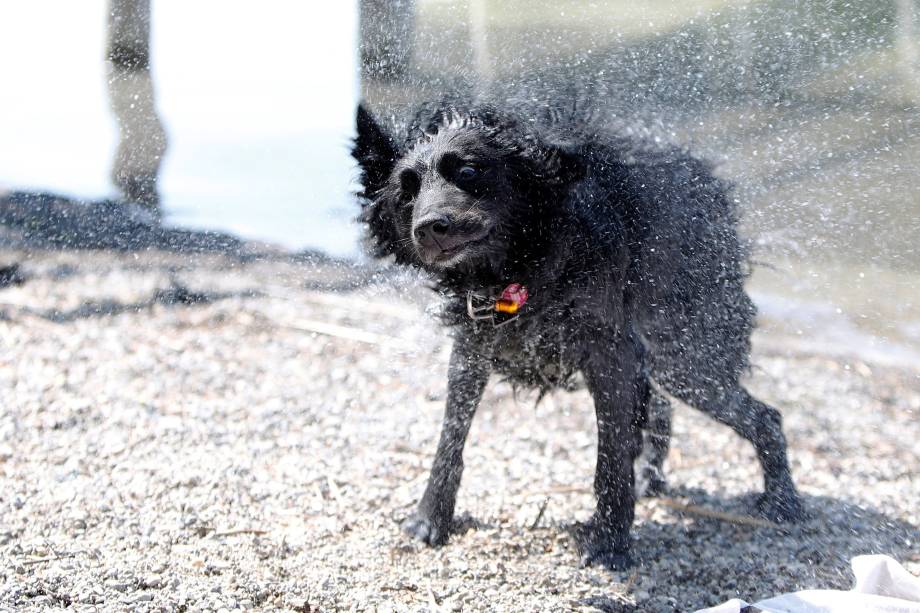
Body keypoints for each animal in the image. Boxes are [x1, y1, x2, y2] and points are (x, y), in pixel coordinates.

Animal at [352, 95, 804, 568]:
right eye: (406, 191)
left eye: (470, 171)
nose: (428, 229)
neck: (525, 265)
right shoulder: (472, 349)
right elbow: (450, 440)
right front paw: (430, 518)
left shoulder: (612, 355)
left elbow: (611, 460)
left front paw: (609, 542)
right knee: (667, 409)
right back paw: (654, 479)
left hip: (686, 358)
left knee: (765, 417)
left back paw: (782, 503)